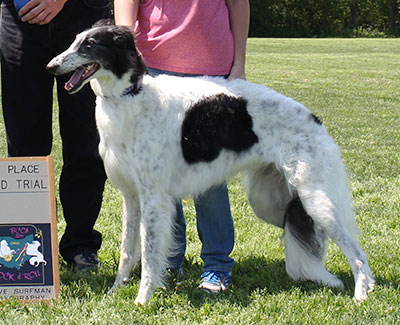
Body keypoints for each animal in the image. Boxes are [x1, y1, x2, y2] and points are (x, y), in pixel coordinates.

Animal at [47, 23, 376, 304]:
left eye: (89, 44)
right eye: (74, 41)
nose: (51, 66)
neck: (131, 98)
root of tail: (315, 119)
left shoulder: (153, 198)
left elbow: (150, 253)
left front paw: (143, 299)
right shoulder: (132, 197)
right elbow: (128, 251)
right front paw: (116, 291)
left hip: (315, 197)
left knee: (356, 251)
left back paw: (361, 293)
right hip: (270, 201)